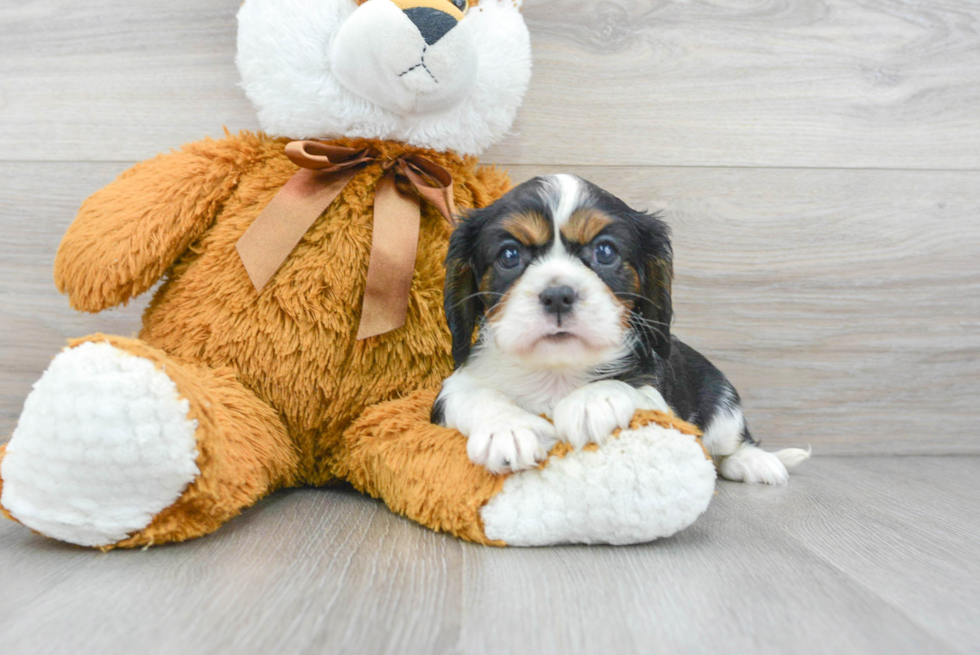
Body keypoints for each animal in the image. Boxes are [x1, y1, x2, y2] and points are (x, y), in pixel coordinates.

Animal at [432, 177, 808, 484]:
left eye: (605, 251)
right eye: (509, 255)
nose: (558, 295)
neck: (556, 371)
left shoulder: (661, 400)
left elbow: (634, 388)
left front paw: (591, 401)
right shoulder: (450, 392)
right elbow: (473, 394)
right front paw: (509, 427)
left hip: (724, 405)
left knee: (729, 448)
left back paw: (754, 461)